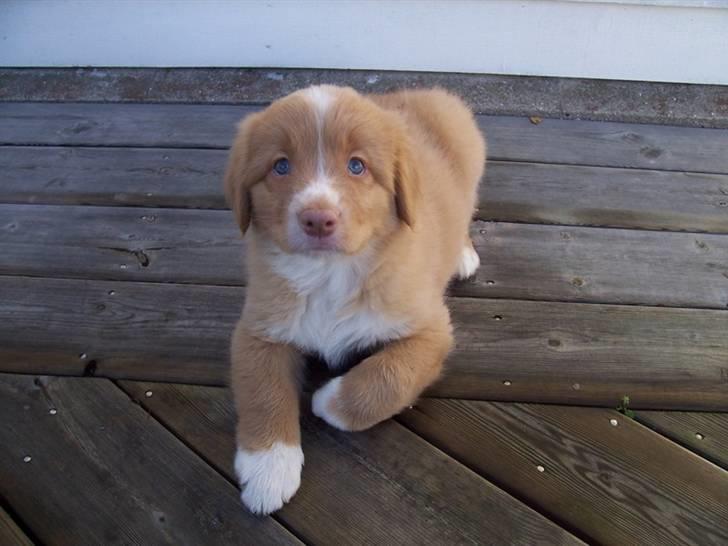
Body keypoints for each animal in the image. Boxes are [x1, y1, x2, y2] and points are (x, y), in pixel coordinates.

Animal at [225, 83, 486, 512]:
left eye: (357, 166)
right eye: (281, 167)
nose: (318, 219)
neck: (330, 275)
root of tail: (417, 90)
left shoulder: (431, 331)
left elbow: (388, 377)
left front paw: (328, 402)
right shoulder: (258, 329)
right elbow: (262, 391)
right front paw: (268, 470)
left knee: (466, 209)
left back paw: (462, 253)